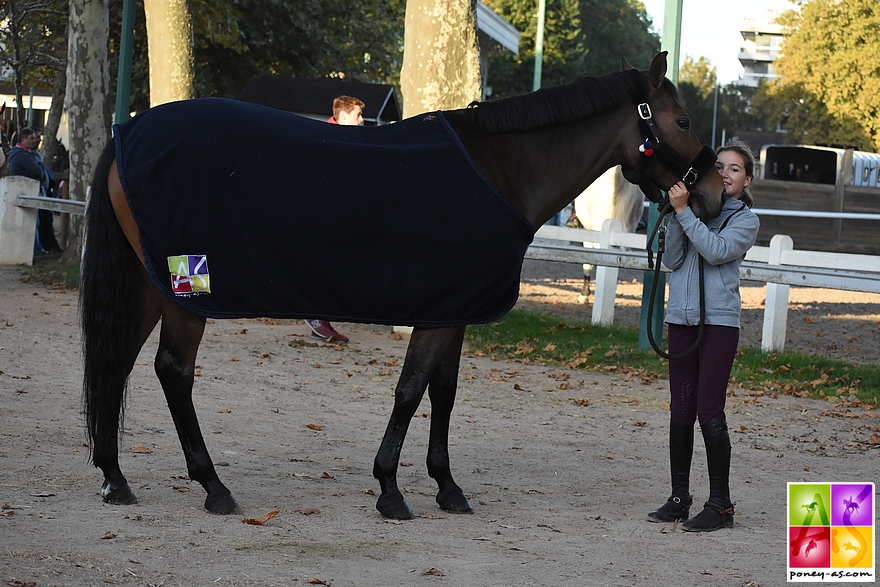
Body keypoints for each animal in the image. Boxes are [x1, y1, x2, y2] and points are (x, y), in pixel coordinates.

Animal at [82, 51, 724, 520]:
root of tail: (126, 131)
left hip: (152, 285)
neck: (501, 171)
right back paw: (212, 485)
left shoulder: (456, 309)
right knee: (172, 371)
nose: (717, 193)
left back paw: (116, 477)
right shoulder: (441, 312)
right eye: (683, 121)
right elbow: (412, 389)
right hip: (187, 291)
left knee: (119, 361)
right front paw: (391, 489)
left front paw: (446, 485)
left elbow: (444, 393)